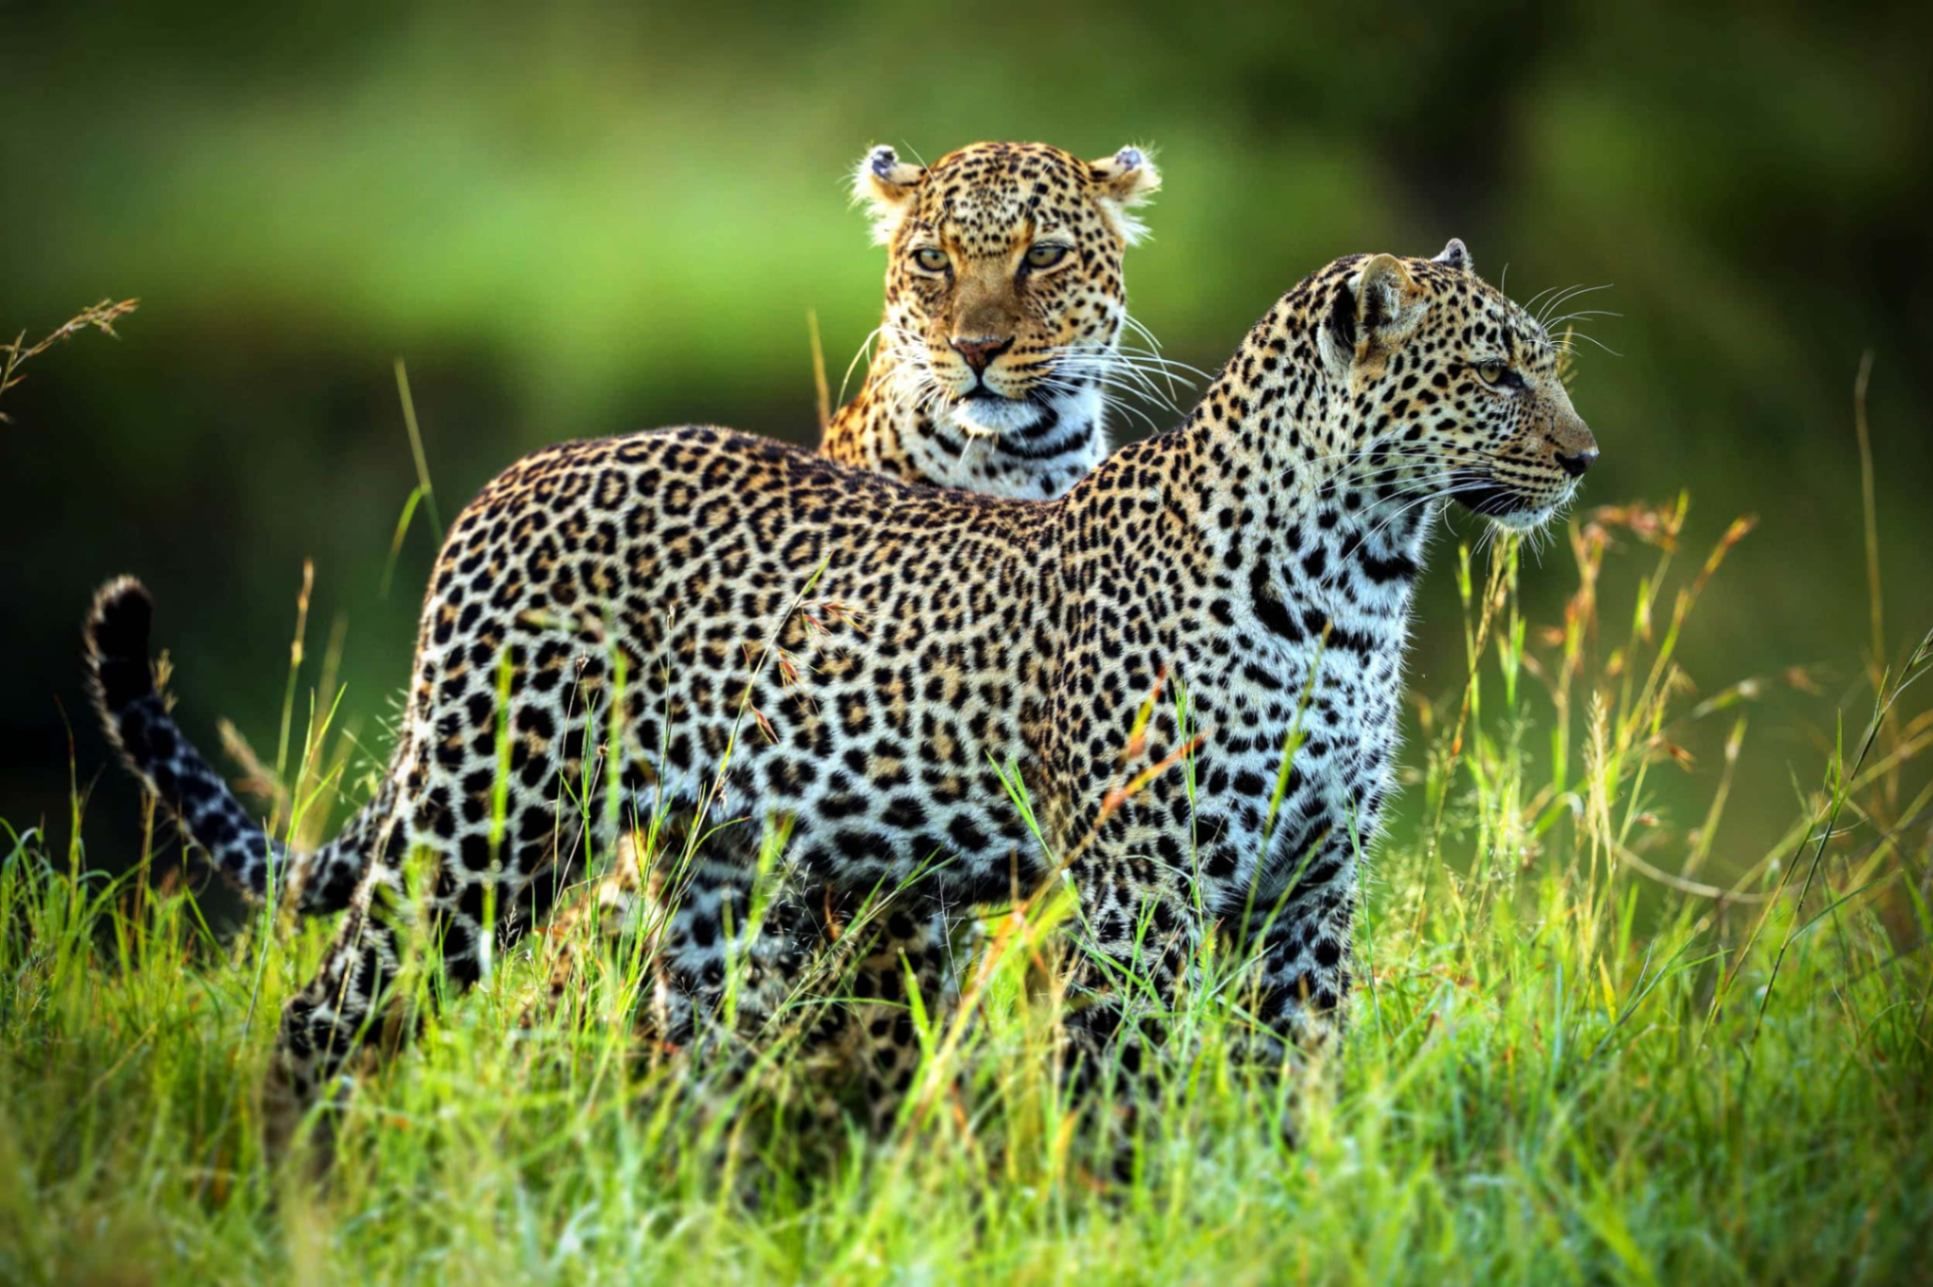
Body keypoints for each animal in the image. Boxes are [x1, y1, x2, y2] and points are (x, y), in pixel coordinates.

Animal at [86, 235, 1600, 1144]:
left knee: (684, 1056)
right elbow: (1114, 1089)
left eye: (1545, 363)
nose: (1584, 457)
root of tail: (503, 483)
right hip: (487, 823)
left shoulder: (1309, 884)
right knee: (326, 1013)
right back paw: (295, 1198)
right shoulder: (1140, 885)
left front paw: (1279, 1189)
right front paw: (1117, 1217)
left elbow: (1299, 1076)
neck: (1359, 582)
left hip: (704, 869)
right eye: (1492, 371)